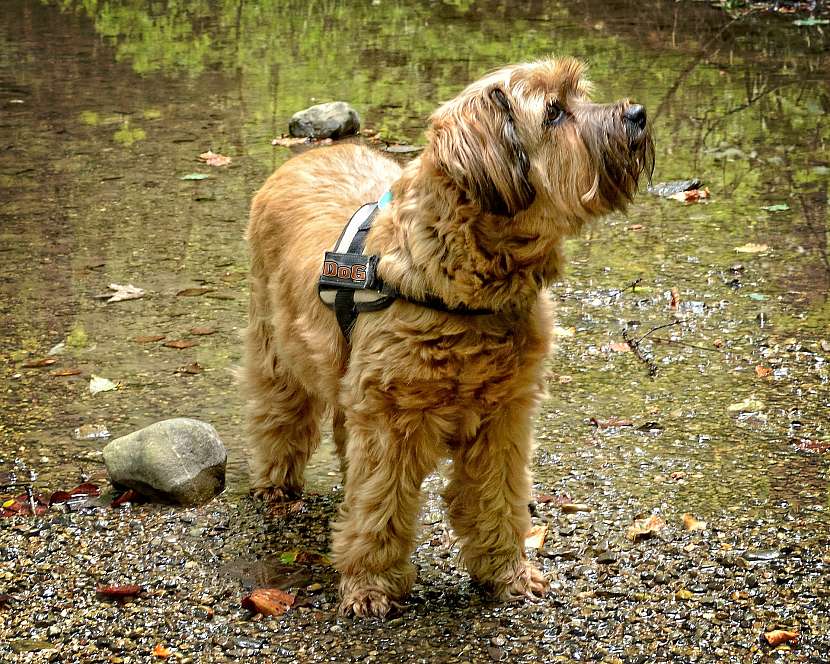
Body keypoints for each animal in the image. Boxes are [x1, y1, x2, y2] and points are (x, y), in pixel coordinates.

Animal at [244, 55, 652, 616]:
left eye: (580, 95)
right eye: (553, 113)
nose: (638, 113)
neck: (464, 282)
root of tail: (305, 158)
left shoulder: (505, 419)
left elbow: (499, 498)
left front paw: (507, 573)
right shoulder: (391, 423)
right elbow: (379, 506)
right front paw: (371, 583)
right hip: (277, 349)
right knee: (278, 417)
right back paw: (277, 487)